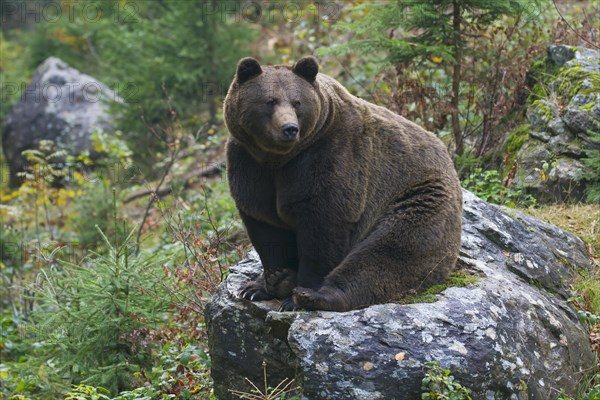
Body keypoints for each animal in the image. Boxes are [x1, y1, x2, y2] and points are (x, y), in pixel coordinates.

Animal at [223, 56, 462, 312]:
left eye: (297, 102)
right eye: (270, 101)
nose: (289, 129)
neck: (279, 159)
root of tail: (450, 162)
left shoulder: (330, 155)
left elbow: (323, 227)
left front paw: (296, 293)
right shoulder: (250, 165)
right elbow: (266, 228)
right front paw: (261, 285)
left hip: (418, 199)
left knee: (387, 251)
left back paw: (318, 296)